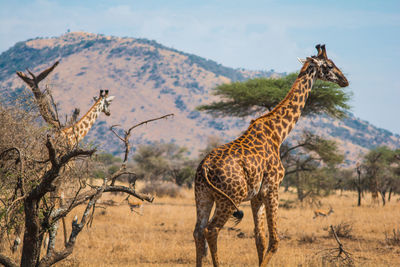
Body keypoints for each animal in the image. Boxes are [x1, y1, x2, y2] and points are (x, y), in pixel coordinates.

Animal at [193, 44, 346, 266]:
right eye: (329, 65)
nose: (345, 80)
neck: (278, 133)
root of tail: (204, 167)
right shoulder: (272, 188)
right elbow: (275, 240)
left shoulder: (256, 196)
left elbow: (260, 238)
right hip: (228, 198)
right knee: (212, 230)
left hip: (203, 196)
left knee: (198, 231)